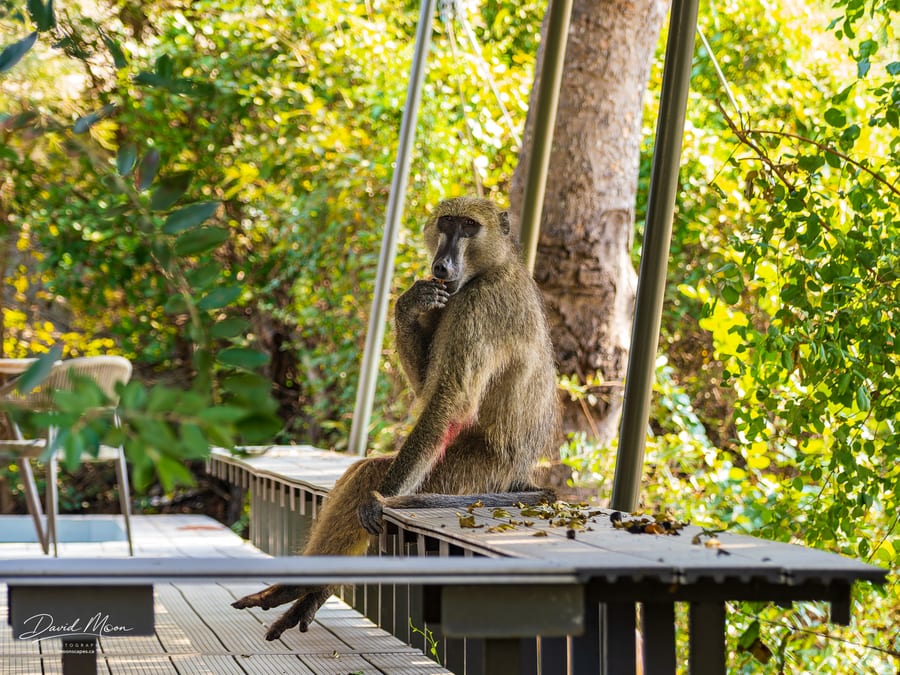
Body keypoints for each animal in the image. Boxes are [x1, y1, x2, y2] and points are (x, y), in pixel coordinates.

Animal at [232, 196, 560, 640]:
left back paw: (301, 586)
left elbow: (449, 401)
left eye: (469, 227)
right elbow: (427, 386)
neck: (490, 268)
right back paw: (301, 592)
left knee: (374, 473)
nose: (442, 264)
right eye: (446, 223)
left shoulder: (480, 306)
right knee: (364, 469)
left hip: (473, 474)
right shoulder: (449, 298)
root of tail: (520, 471)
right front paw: (407, 305)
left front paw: (375, 501)